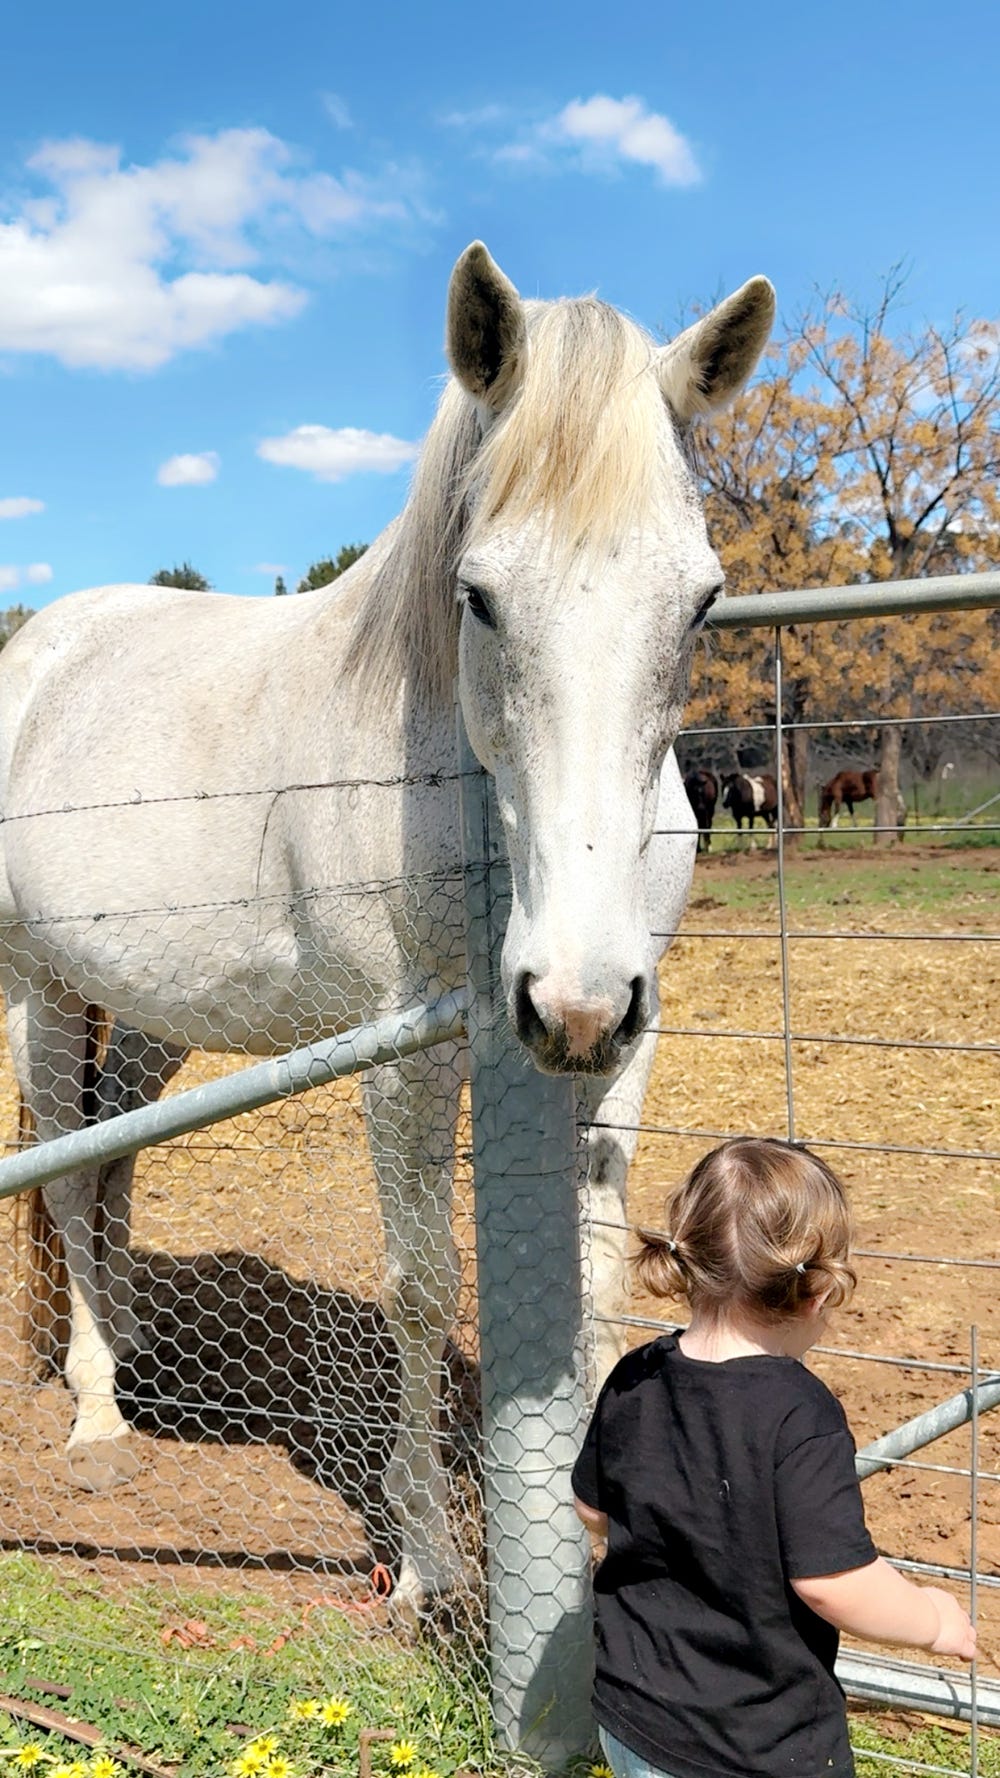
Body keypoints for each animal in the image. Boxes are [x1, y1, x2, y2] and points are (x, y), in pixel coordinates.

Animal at [0, 241, 774, 1608]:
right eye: (479, 595)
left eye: (700, 599)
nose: (569, 996)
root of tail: (43, 644)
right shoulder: (404, 1057)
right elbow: (422, 1286)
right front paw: (426, 1555)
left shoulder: (619, 1047)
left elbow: (595, 1276)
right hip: (38, 986)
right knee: (66, 1156)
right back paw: (97, 1410)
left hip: (152, 1008)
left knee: (113, 1150)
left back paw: (135, 1342)